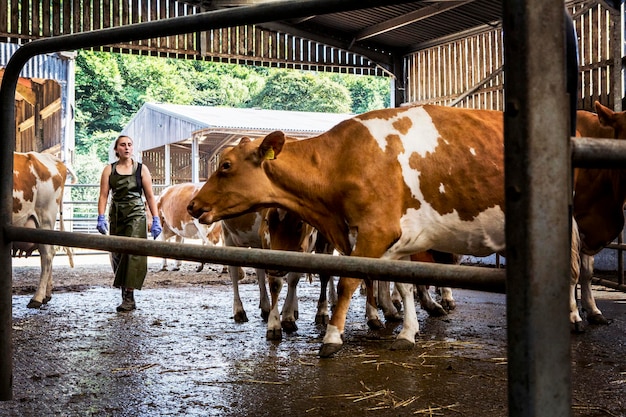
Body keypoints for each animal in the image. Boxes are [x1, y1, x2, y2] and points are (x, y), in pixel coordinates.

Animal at [186, 104, 580, 354]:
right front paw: (406, 331)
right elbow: (401, 283)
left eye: (225, 165)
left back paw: (576, 316)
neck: (341, 160)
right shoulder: (391, 239)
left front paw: (332, 337)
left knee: (575, 270)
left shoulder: (376, 232)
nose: (192, 204)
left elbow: (348, 282)